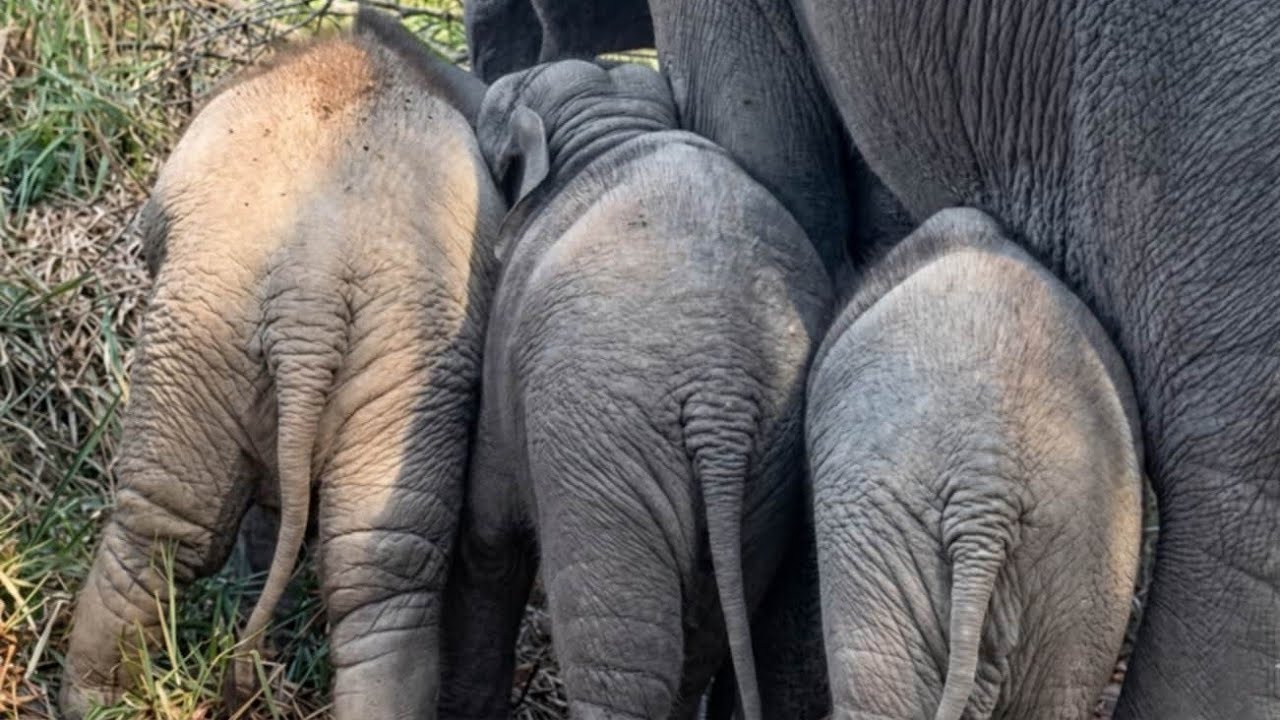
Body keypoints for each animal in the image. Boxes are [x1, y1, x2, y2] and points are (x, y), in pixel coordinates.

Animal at [59, 10, 502, 720]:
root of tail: (310, 282)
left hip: (224, 328)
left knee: (169, 529)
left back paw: (96, 701)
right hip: (305, 337)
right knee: (369, 570)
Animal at [436, 59, 832, 720]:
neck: (613, 126)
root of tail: (719, 400)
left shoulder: (502, 361)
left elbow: (489, 539)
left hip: (600, 445)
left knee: (619, 651)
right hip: (768, 478)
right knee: (698, 637)